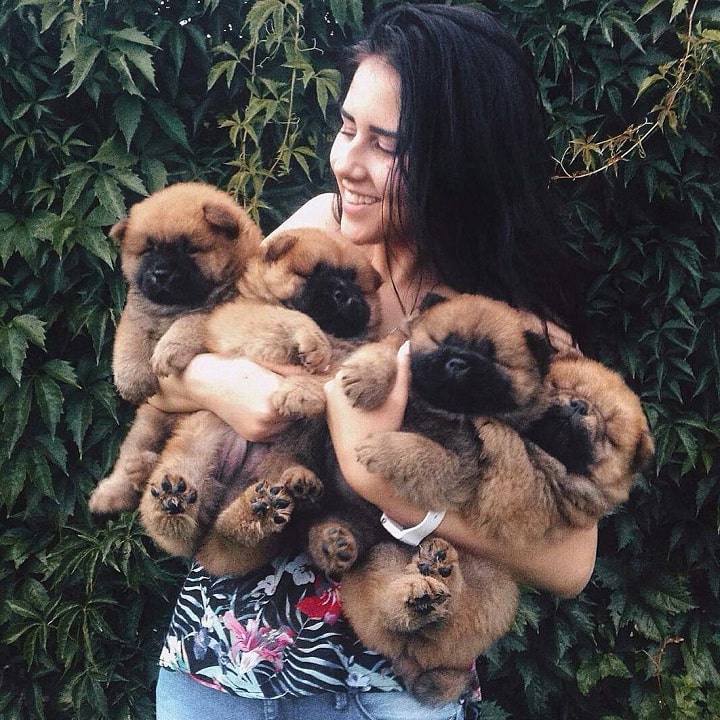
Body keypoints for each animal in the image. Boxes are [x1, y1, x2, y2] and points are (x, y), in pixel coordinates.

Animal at [87, 180, 262, 516]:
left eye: (188, 249)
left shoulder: (218, 313)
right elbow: (129, 344)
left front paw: (168, 351)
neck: (175, 307)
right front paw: (132, 381)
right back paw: (113, 491)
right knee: (131, 454)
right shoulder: (136, 315)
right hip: (149, 421)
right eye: (148, 250)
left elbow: (190, 323)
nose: (160, 273)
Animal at [136, 228, 382, 576]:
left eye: (355, 282)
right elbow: (285, 317)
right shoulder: (242, 317)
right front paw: (312, 344)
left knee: (233, 534)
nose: (344, 294)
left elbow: (330, 374)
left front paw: (299, 392)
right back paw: (174, 502)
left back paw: (280, 502)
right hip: (197, 443)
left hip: (277, 468)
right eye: (312, 273)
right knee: (176, 527)